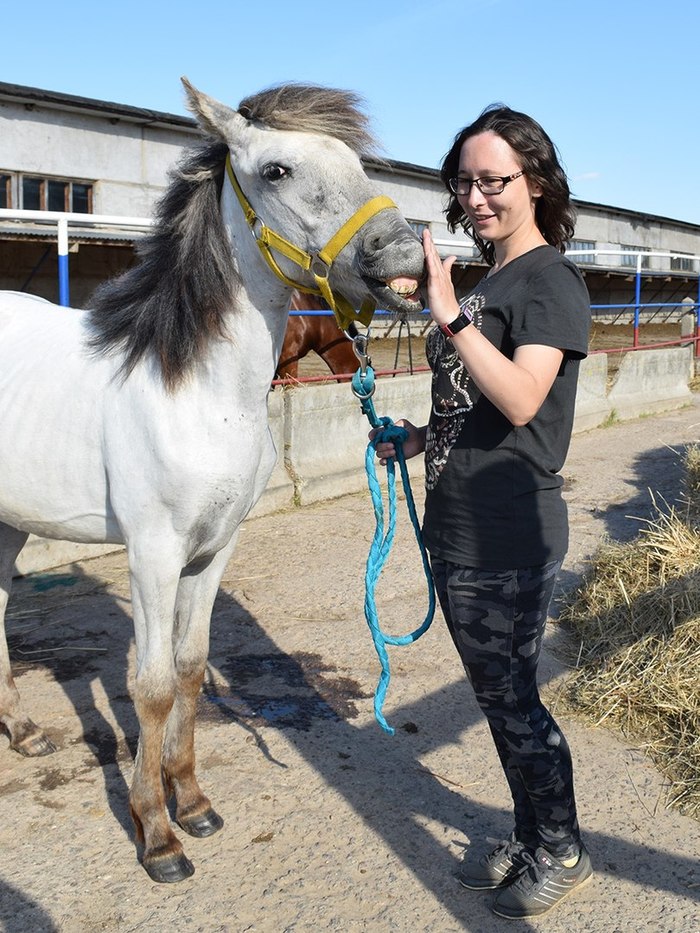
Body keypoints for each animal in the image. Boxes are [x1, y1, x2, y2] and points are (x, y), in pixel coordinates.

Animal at [0, 78, 422, 880]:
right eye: (277, 171)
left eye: (354, 161)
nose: (404, 251)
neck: (191, 387)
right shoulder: (154, 553)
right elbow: (152, 684)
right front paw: (156, 835)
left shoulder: (214, 547)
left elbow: (192, 670)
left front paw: (191, 802)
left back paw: (24, 730)